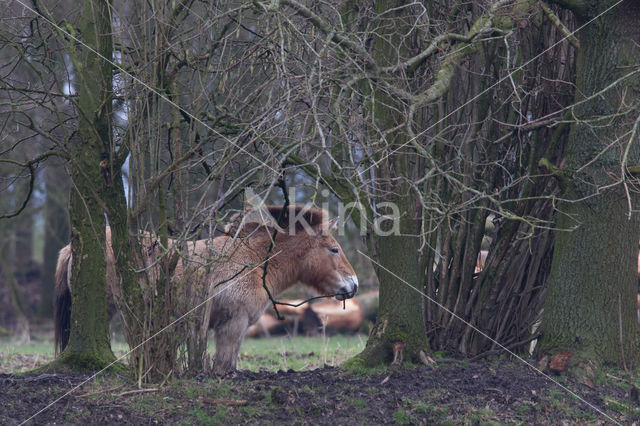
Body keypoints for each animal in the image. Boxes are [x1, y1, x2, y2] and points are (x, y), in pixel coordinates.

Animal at [53, 206, 360, 372]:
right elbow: (224, 364)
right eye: (334, 249)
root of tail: (72, 247)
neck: (251, 260)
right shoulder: (232, 324)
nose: (354, 284)